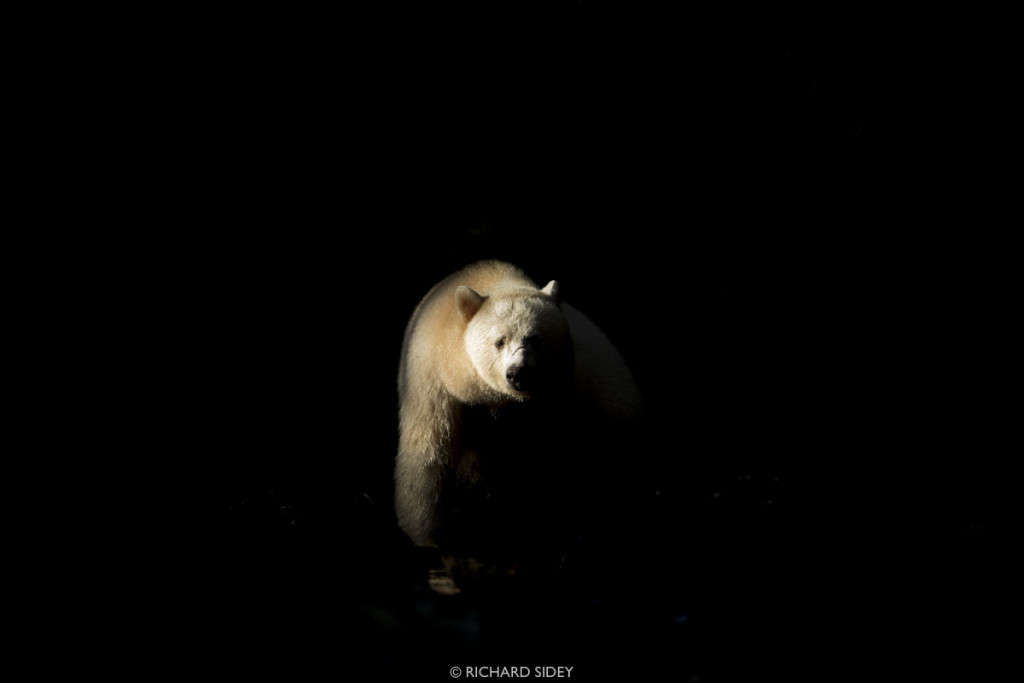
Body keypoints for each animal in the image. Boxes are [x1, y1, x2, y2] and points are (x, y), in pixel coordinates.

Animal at [395, 260, 642, 570]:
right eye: (499, 341)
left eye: (535, 338)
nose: (518, 373)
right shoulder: (437, 384)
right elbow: (428, 456)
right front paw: (429, 539)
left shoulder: (557, 396)